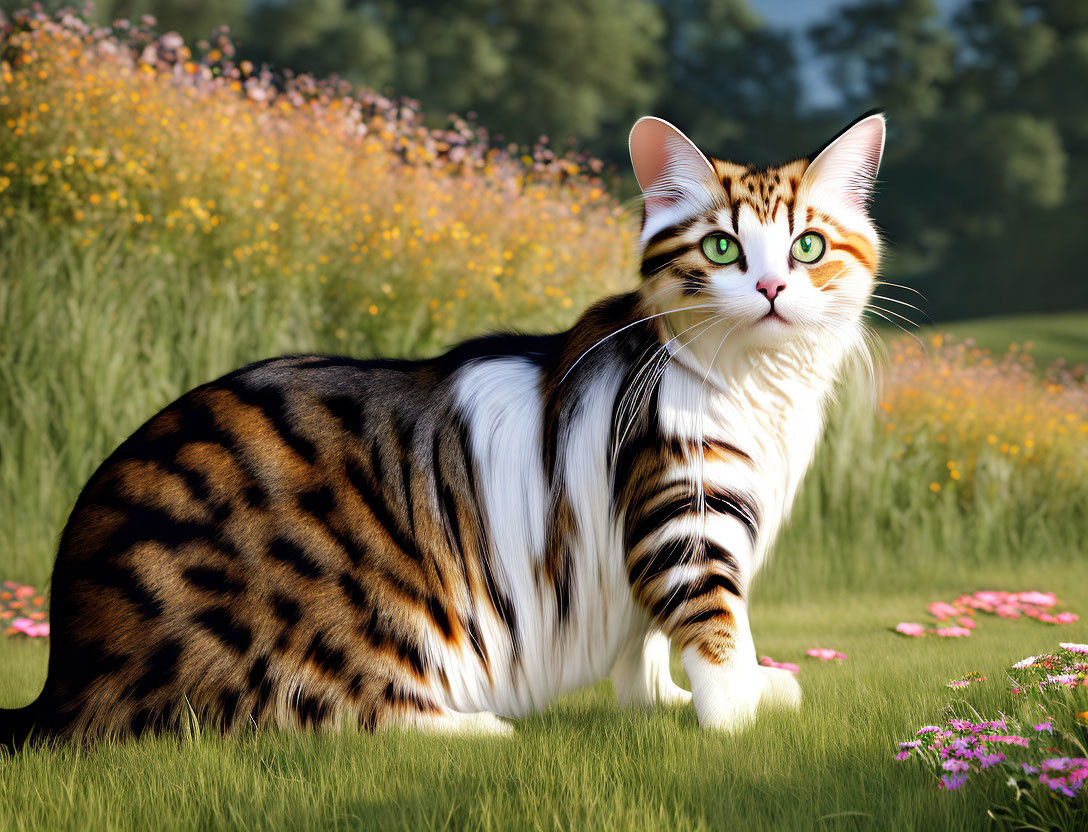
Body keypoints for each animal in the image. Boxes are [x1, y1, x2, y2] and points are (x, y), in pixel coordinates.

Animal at [0, 112, 883, 748]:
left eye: (808, 247)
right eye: (722, 248)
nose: (770, 287)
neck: (760, 387)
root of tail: (64, 673)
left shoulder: (639, 552)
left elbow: (643, 654)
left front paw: (668, 700)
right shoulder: (683, 523)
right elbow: (716, 633)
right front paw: (736, 717)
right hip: (345, 639)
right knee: (310, 717)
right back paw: (483, 728)